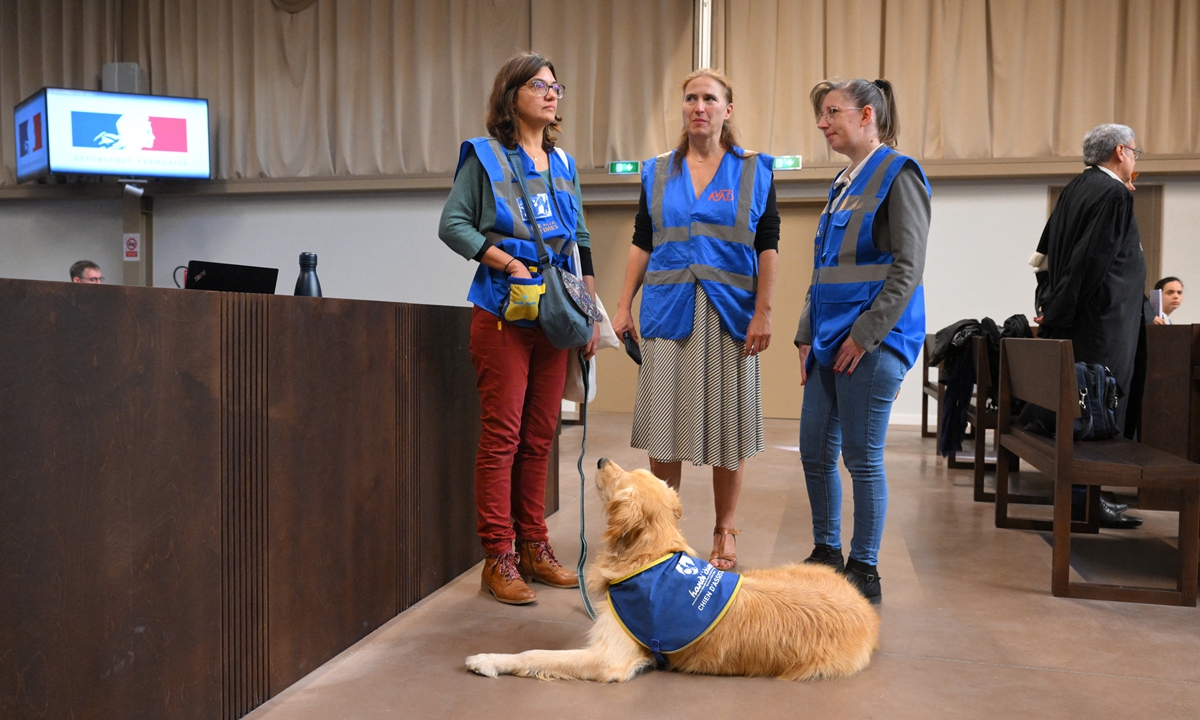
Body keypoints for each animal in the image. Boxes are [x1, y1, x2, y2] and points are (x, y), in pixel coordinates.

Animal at [468, 458, 883, 681]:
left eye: (620, 478)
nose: (599, 460)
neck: (648, 558)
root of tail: (867, 611)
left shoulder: (609, 656)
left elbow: (535, 654)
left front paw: (488, 659)